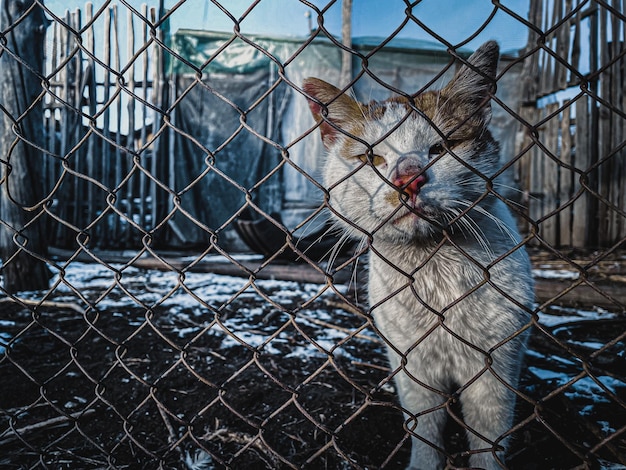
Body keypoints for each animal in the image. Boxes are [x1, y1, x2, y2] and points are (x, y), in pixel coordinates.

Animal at [302, 42, 532, 468]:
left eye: (440, 149)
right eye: (372, 159)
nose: (407, 178)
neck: (432, 270)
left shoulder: (495, 372)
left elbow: (487, 442)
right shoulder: (412, 369)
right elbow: (424, 430)